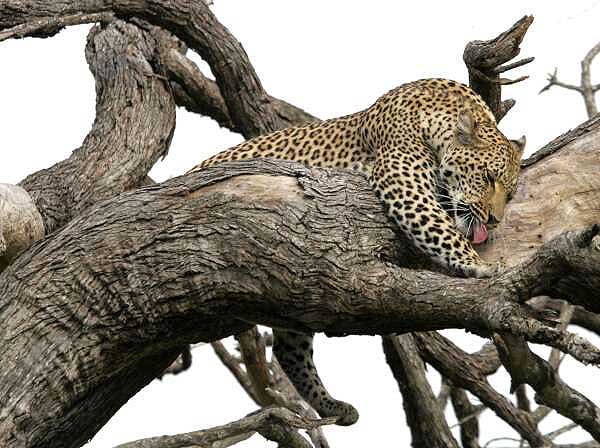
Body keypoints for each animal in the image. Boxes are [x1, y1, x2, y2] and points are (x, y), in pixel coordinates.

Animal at [189, 79, 524, 426]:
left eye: (510, 194)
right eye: (488, 177)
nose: (494, 219)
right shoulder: (402, 180)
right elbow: (438, 226)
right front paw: (478, 264)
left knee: (288, 349)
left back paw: (333, 406)